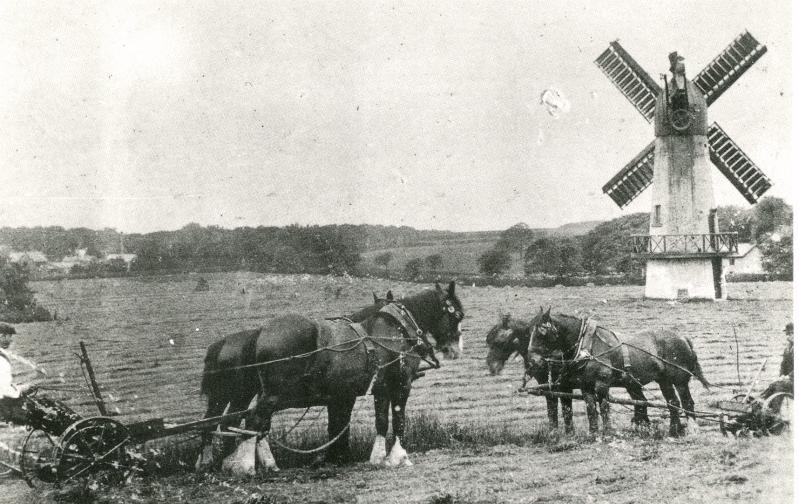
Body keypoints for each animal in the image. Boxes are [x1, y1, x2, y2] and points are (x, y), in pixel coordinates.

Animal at [195, 290, 394, 470]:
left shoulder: (337, 397)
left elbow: (336, 425)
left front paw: (334, 456)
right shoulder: (345, 396)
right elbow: (340, 425)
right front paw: (340, 456)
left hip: (228, 396)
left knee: (217, 422)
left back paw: (211, 462)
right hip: (250, 395)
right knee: (241, 423)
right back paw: (243, 463)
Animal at [219, 282, 466, 474]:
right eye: (457, 315)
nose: (456, 349)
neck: (396, 331)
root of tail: (262, 331)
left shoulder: (377, 388)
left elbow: (378, 422)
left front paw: (376, 458)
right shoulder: (400, 384)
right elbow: (398, 420)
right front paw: (399, 457)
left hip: (269, 393)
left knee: (256, 423)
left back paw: (264, 464)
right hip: (275, 393)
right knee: (254, 421)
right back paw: (245, 466)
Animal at [528, 308, 708, 438]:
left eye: (542, 332)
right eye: (530, 331)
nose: (532, 361)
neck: (588, 345)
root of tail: (683, 338)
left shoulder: (602, 384)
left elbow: (604, 407)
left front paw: (608, 432)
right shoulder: (586, 386)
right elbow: (591, 409)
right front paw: (593, 434)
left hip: (679, 380)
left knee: (687, 402)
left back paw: (692, 429)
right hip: (663, 380)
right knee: (673, 402)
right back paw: (674, 431)